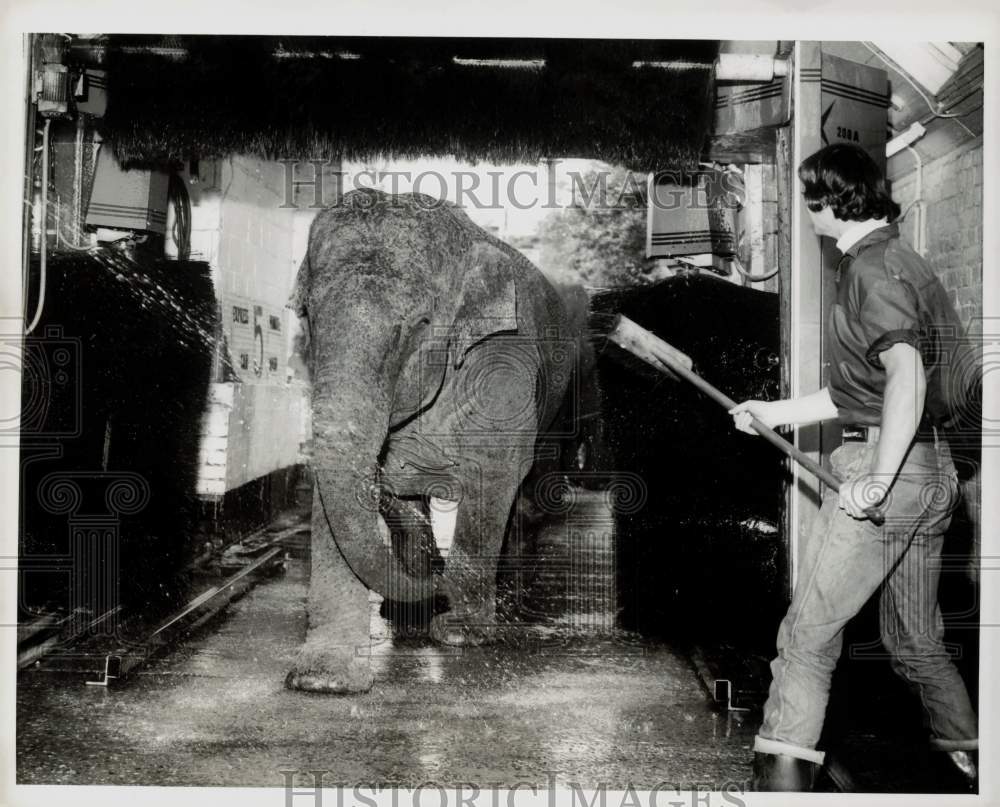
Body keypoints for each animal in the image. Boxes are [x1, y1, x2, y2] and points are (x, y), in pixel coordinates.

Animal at [284, 189, 584, 696]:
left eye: (420, 324)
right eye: (308, 315)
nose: (440, 589)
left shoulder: (504, 359)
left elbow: (496, 470)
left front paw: (460, 632)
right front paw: (325, 678)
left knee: (526, 493)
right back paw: (406, 611)